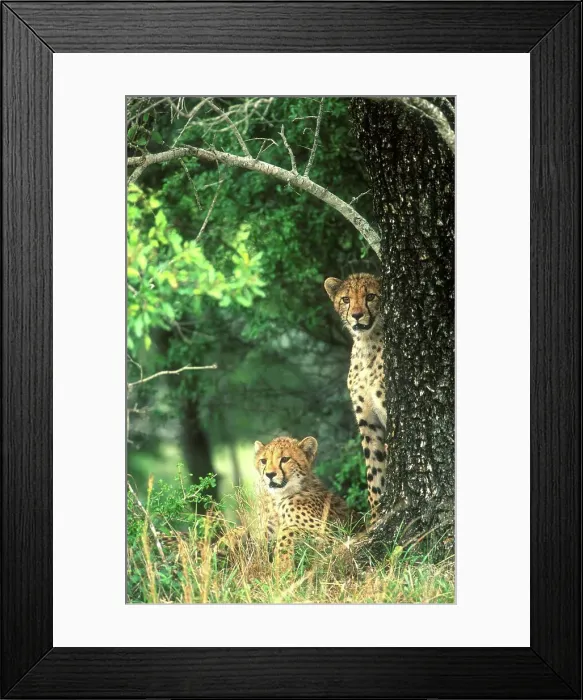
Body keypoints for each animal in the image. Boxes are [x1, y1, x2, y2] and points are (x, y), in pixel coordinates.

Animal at [254, 435, 351, 565]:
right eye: (263, 461)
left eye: (285, 459)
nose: (269, 474)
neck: (278, 498)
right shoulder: (266, 531)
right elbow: (254, 540)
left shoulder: (334, 535)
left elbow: (287, 531)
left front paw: (281, 564)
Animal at [324, 273, 387, 518]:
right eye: (346, 299)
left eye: (370, 296)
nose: (357, 315)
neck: (367, 344)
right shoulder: (369, 422)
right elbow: (374, 469)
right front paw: (377, 514)